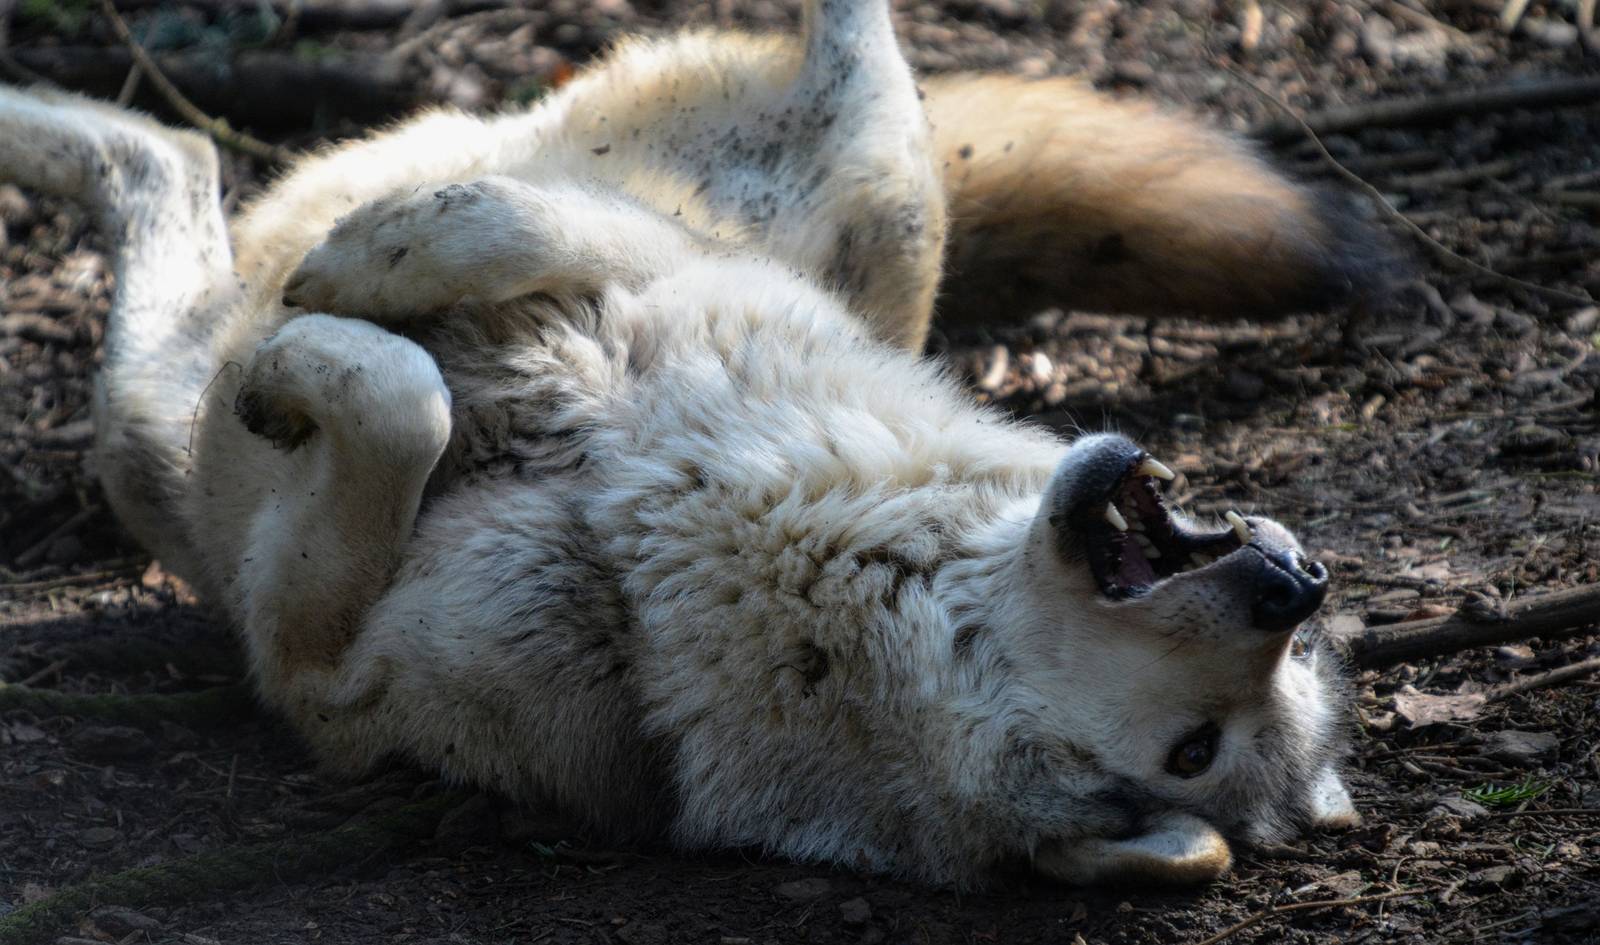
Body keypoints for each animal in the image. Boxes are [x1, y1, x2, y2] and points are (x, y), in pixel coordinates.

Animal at [0, 0, 1377, 886]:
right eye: (1309, 653)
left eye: (1196, 751)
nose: (1294, 583)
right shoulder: (676, 273)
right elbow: (500, 232)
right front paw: (368, 262)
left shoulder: (312, 676)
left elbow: (397, 396)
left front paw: (302, 360)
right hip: (882, 189)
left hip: (140, 429)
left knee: (161, 161)